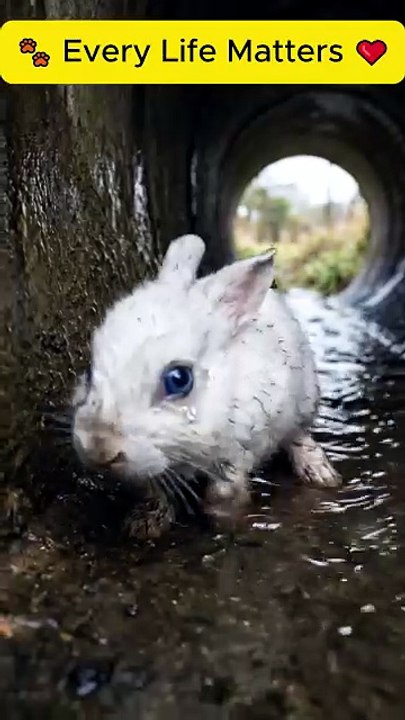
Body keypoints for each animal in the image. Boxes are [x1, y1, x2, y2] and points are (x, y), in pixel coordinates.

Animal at [71, 233, 341, 529]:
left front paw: (223, 514)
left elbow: (225, 488)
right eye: (89, 370)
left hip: (303, 401)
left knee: (299, 436)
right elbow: (155, 489)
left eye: (179, 379)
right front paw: (145, 524)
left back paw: (322, 474)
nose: (98, 448)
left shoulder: (244, 445)